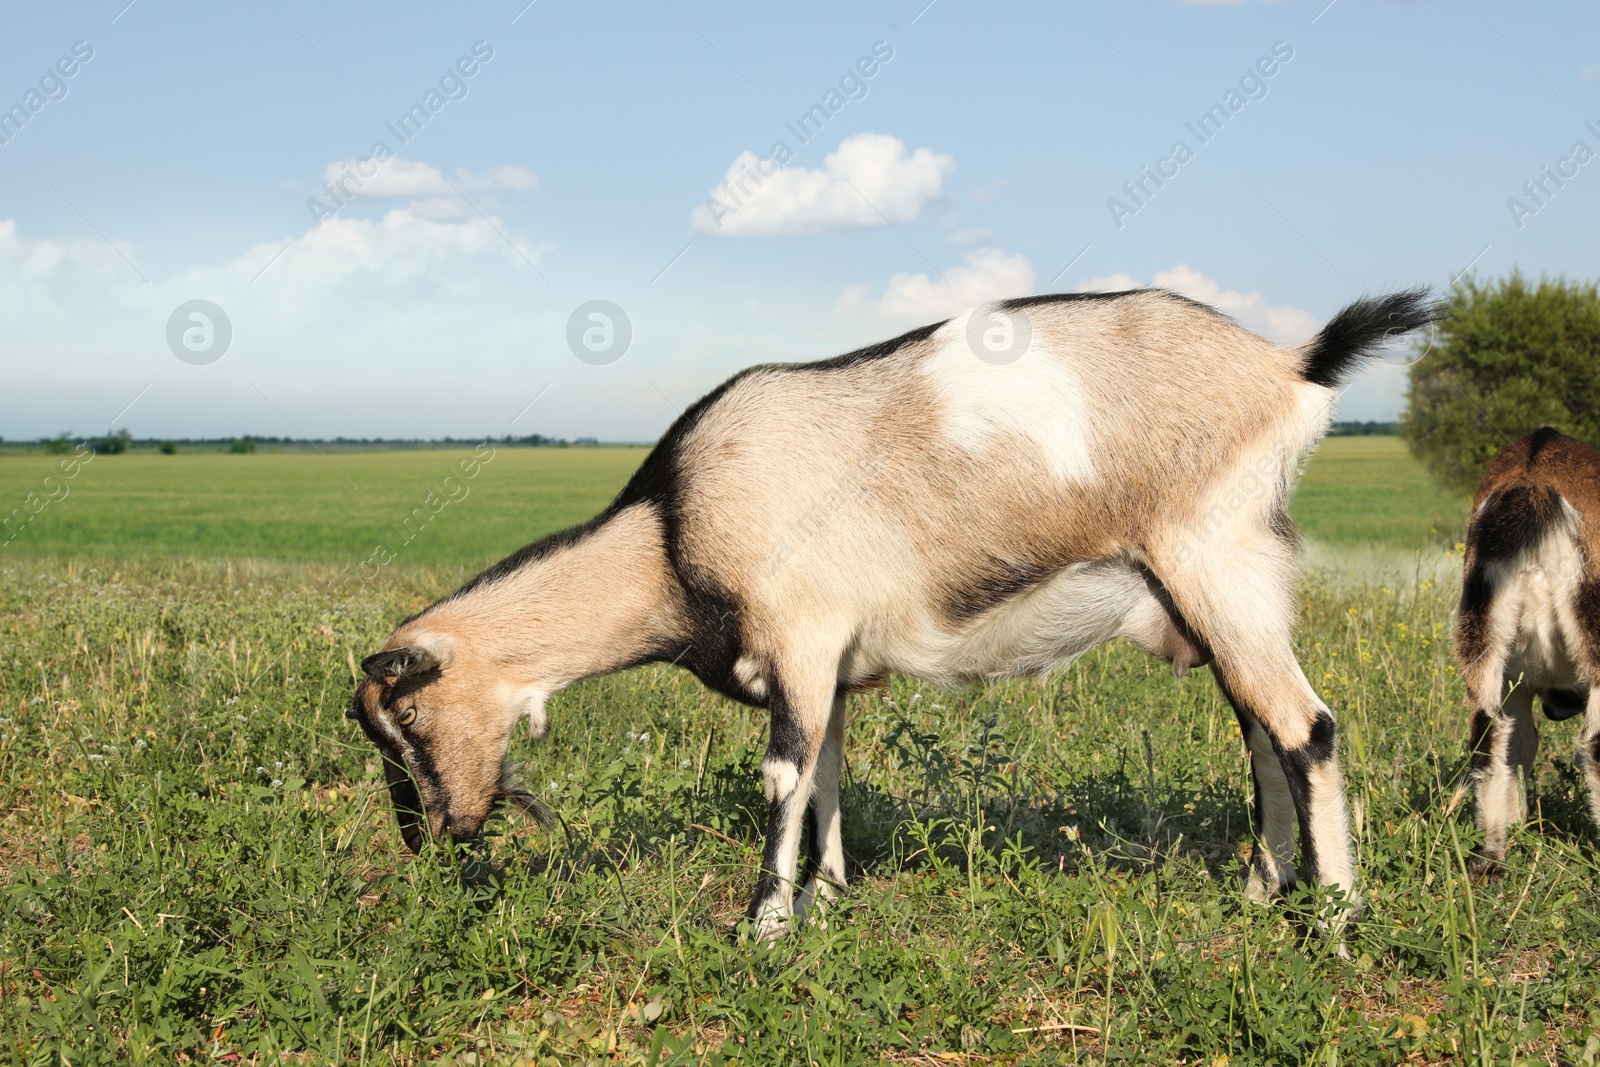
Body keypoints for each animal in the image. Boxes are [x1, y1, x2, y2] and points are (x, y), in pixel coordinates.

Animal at [347, 287, 1440, 940]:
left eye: (407, 715)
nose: (440, 833)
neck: (667, 536)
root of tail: (1288, 364)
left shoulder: (798, 635)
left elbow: (783, 774)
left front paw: (763, 924)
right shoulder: (828, 665)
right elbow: (828, 773)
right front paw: (828, 895)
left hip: (1217, 561)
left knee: (1306, 727)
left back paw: (1334, 918)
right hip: (1218, 594)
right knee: (1260, 728)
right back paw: (1261, 890)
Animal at [1452, 422, 1600, 870]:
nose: (1559, 707)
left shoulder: (1516, 679)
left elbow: (1519, 743)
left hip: (1483, 636)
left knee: (1487, 733)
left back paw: (1490, 857)